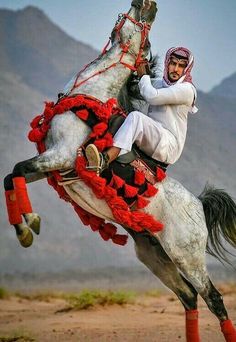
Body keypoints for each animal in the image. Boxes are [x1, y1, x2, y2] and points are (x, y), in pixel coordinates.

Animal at [3, 1, 236, 340]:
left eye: (145, 33)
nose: (148, 5)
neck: (91, 97)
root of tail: (199, 205)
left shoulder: (59, 156)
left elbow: (17, 169)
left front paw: (30, 223)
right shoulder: (51, 166)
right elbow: (12, 175)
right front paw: (24, 230)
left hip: (186, 256)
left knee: (213, 298)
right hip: (154, 255)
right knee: (189, 297)